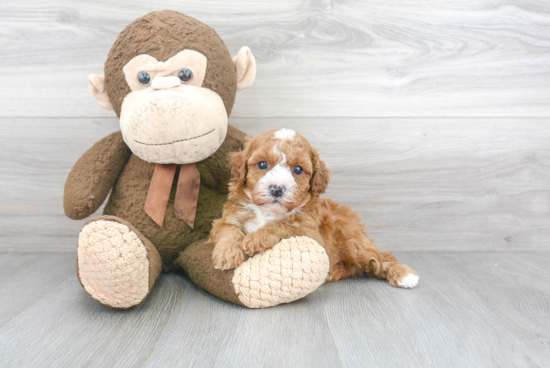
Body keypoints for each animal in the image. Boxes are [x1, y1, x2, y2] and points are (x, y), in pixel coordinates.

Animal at [210, 129, 418, 288]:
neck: (268, 212)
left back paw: (405, 275)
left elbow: (283, 225)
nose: (276, 189)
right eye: (262, 164)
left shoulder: (310, 233)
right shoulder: (225, 219)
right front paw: (227, 254)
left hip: (353, 242)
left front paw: (257, 238)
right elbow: (229, 230)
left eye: (298, 169)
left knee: (380, 256)